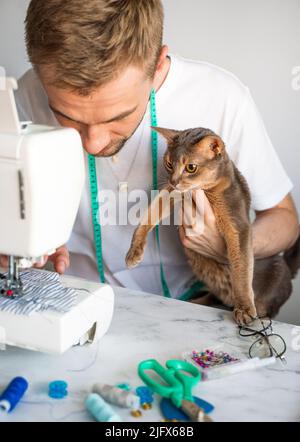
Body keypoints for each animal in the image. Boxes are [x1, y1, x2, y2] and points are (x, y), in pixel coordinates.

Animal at [125, 127, 300, 324]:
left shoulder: (238, 225)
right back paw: (197, 300)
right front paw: (134, 251)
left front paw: (245, 308)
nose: (173, 181)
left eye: (191, 167)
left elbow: (241, 269)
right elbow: (149, 215)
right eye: (169, 164)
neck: (203, 190)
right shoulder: (171, 192)